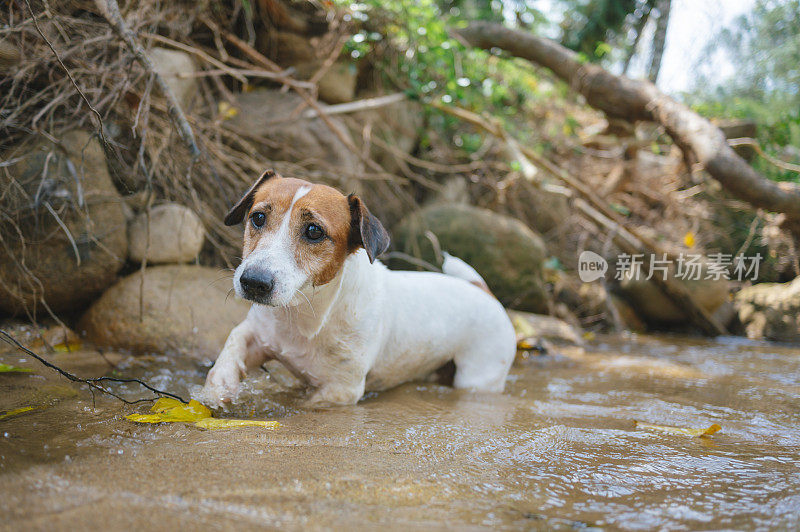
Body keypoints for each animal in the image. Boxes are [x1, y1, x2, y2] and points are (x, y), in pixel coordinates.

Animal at [199, 170, 512, 408]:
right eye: (258, 217)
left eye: (314, 231)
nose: (253, 282)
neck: (305, 317)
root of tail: (484, 291)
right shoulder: (258, 333)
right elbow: (234, 342)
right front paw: (219, 387)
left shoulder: (339, 391)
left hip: (478, 377)